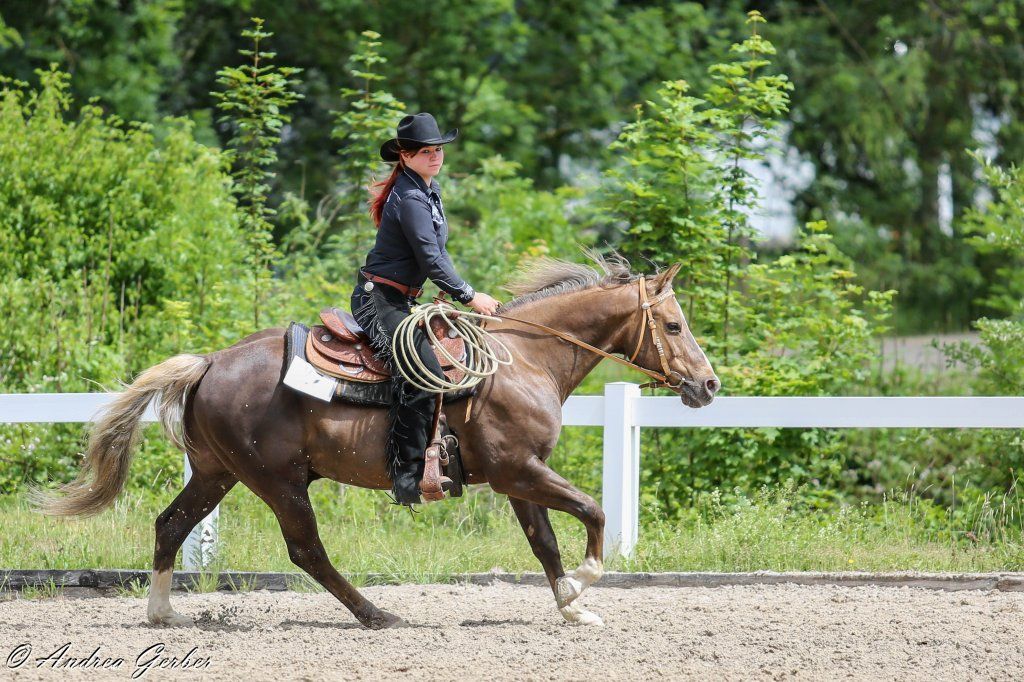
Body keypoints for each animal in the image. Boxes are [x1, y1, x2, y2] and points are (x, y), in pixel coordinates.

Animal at [32, 250, 719, 629]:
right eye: (674, 325)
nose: (709, 384)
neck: (524, 360)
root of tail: (208, 363)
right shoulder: (518, 470)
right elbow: (593, 512)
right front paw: (583, 584)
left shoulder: (519, 477)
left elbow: (545, 543)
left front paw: (573, 605)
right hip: (278, 481)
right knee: (306, 551)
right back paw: (374, 614)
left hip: (216, 472)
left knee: (171, 524)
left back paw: (162, 613)